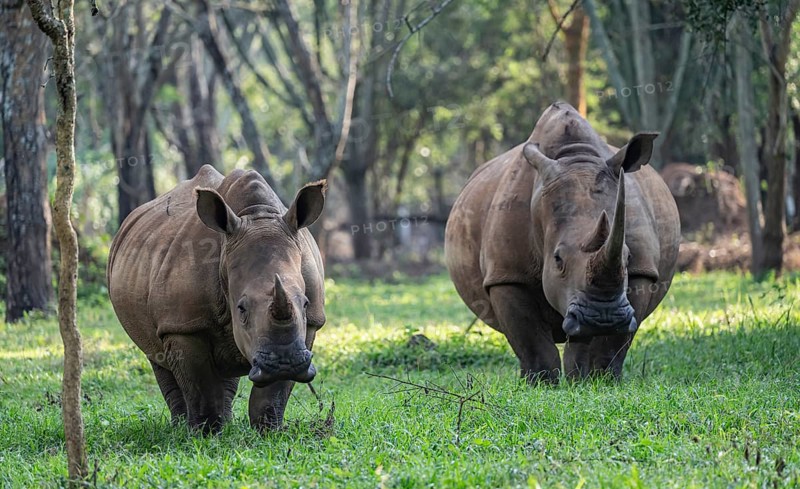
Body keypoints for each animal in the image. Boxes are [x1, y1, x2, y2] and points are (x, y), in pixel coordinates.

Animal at [108, 165, 326, 432]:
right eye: (241, 308)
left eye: (305, 303)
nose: (286, 364)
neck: (257, 216)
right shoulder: (184, 325)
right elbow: (201, 389)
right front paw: (206, 433)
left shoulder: (311, 323)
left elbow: (272, 394)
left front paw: (268, 431)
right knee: (157, 358)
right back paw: (181, 427)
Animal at [445, 102, 680, 382]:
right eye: (557, 259)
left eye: (628, 257)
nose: (603, 318)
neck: (574, 157)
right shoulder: (506, 273)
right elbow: (532, 343)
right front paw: (541, 383)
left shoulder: (641, 271)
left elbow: (609, 344)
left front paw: (598, 380)